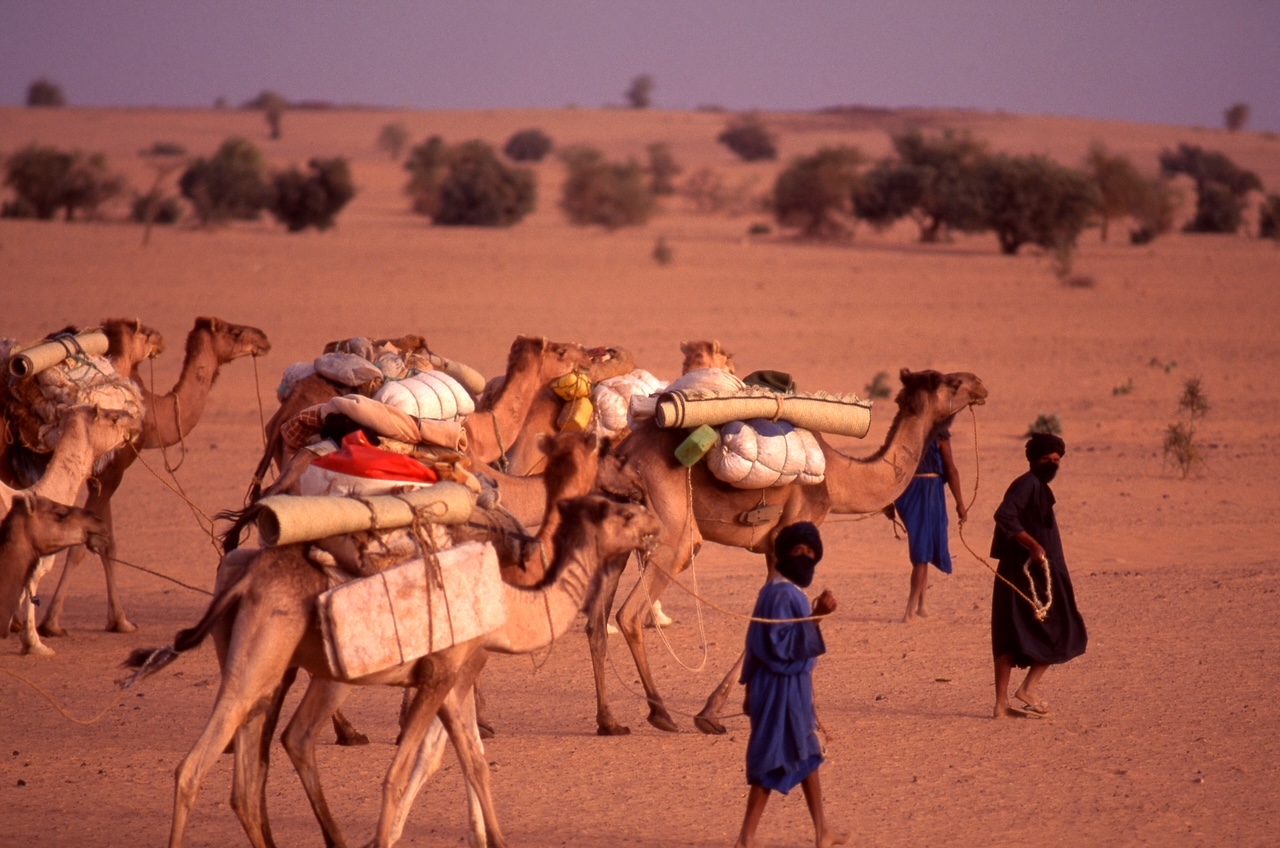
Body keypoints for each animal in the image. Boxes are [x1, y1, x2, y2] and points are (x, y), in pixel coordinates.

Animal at [35, 318, 272, 637]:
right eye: (234, 332)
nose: (264, 338)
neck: (151, 412)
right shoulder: (112, 470)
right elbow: (82, 546)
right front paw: (51, 623)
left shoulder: (106, 476)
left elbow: (107, 543)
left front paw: (120, 621)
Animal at [128, 494, 660, 848]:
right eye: (624, 513)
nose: (655, 519)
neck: (509, 603)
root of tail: (246, 578)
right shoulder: (441, 673)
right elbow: (400, 773)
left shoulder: (455, 680)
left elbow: (474, 761)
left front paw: (496, 839)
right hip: (264, 660)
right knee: (195, 767)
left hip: (270, 665)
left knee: (254, 774)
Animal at [588, 371, 988, 737]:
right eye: (952, 383)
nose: (979, 385)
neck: (838, 480)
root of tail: (624, 455)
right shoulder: (794, 532)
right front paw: (712, 713)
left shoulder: (772, 547)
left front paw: (725, 710)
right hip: (675, 535)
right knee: (630, 613)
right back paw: (660, 713)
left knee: (597, 622)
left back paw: (609, 722)